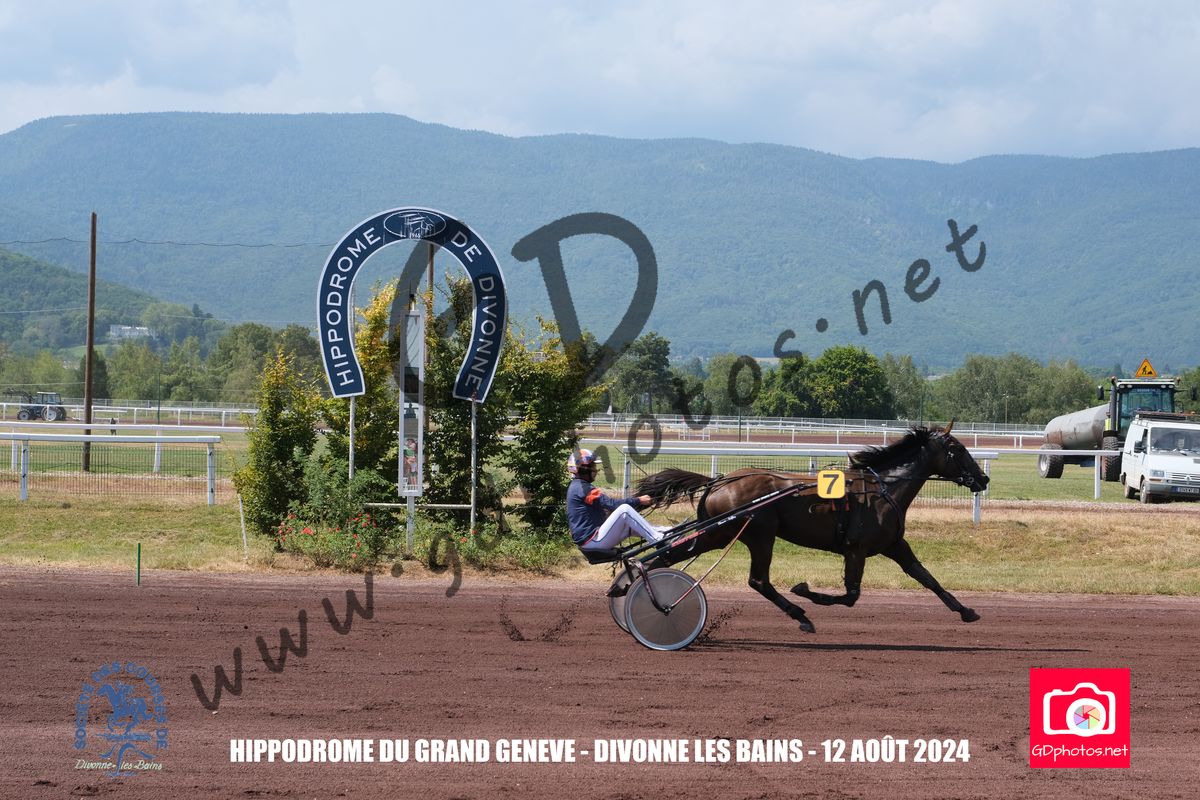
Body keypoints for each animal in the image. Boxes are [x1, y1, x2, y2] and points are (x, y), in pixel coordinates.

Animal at [634, 424, 989, 633]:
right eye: (958, 449)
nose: (983, 478)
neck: (882, 489)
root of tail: (718, 481)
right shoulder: (856, 549)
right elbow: (851, 596)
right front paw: (805, 591)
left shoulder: (894, 545)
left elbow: (926, 577)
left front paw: (966, 610)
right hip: (757, 534)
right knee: (758, 580)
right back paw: (801, 615)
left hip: (718, 534)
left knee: (666, 557)